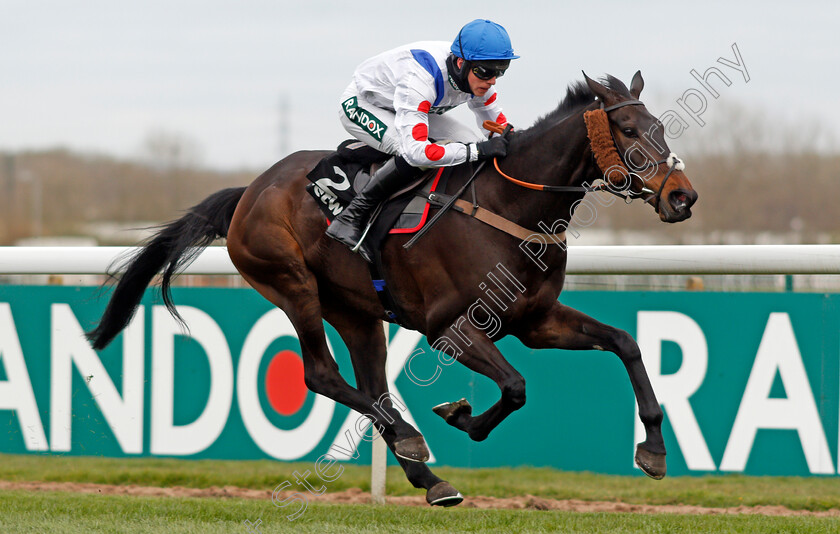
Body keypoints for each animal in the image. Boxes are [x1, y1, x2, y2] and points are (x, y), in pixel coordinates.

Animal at [88, 73, 700, 508]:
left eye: (662, 130)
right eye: (628, 130)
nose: (682, 197)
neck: (511, 208)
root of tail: (249, 191)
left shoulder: (536, 320)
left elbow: (625, 343)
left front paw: (653, 450)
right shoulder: (450, 327)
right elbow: (516, 386)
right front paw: (458, 415)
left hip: (358, 312)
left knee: (373, 387)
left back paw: (429, 478)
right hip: (292, 284)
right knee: (322, 374)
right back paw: (411, 439)